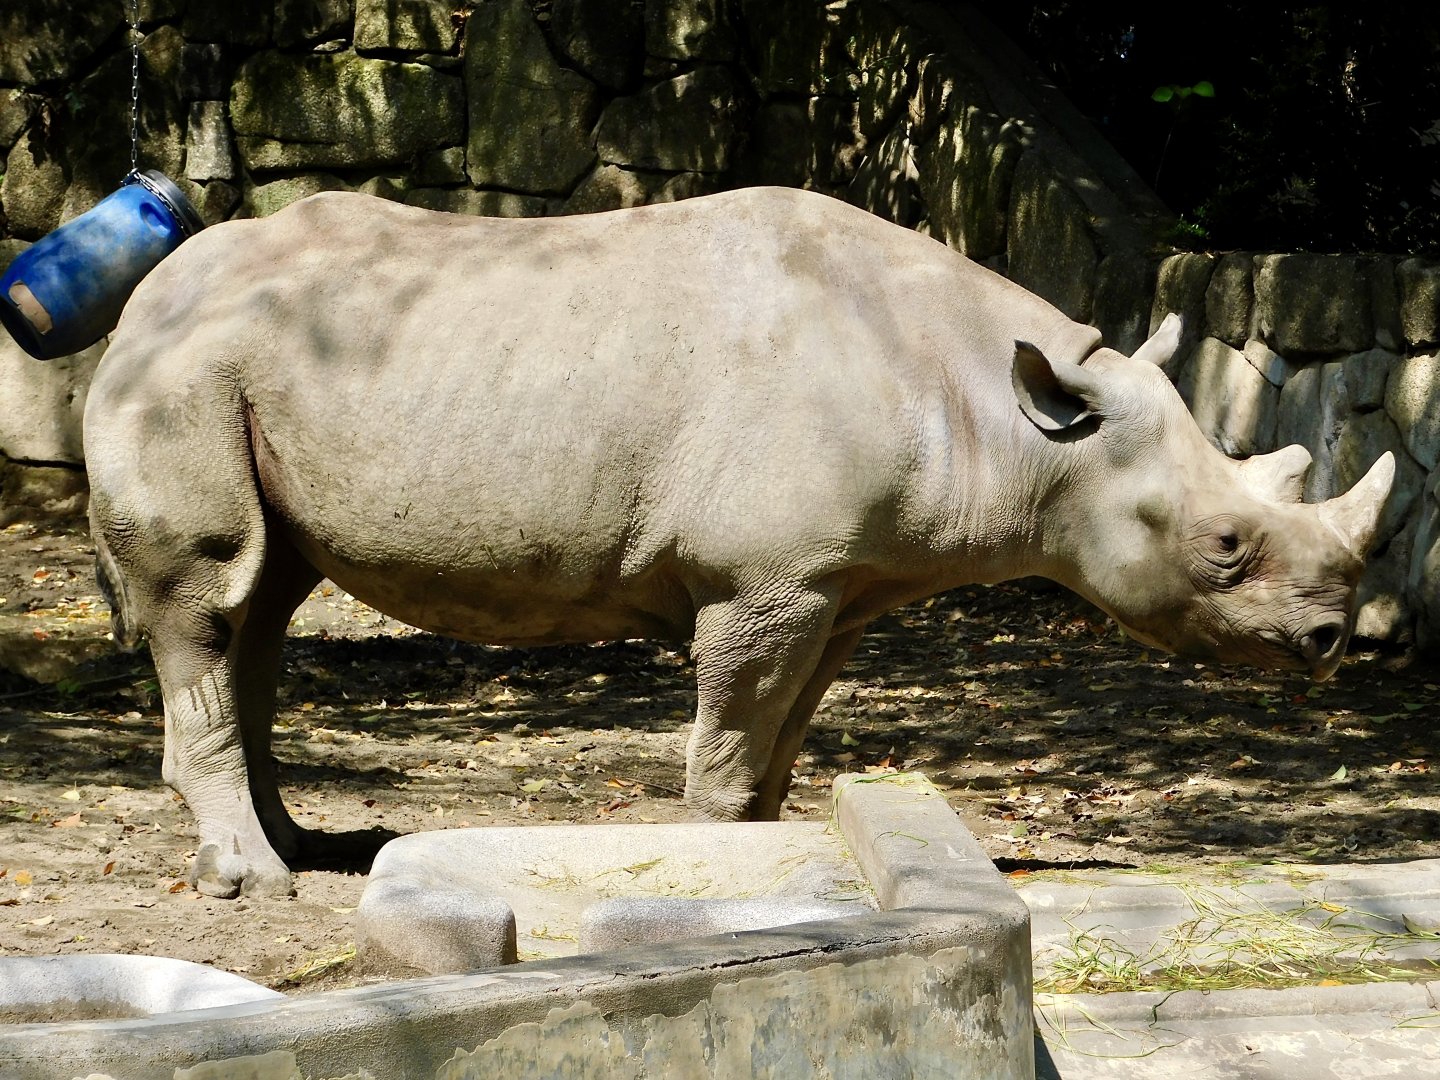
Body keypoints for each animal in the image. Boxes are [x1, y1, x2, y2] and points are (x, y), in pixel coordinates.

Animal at [83, 187, 1393, 898]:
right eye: (1224, 545)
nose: (1333, 639)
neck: (1020, 423)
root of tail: (148, 293)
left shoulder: (839, 584)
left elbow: (774, 753)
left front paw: (776, 871)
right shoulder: (764, 580)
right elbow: (726, 756)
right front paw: (715, 879)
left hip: (248, 368)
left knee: (267, 597)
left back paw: (300, 842)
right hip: (183, 374)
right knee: (206, 598)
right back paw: (252, 878)